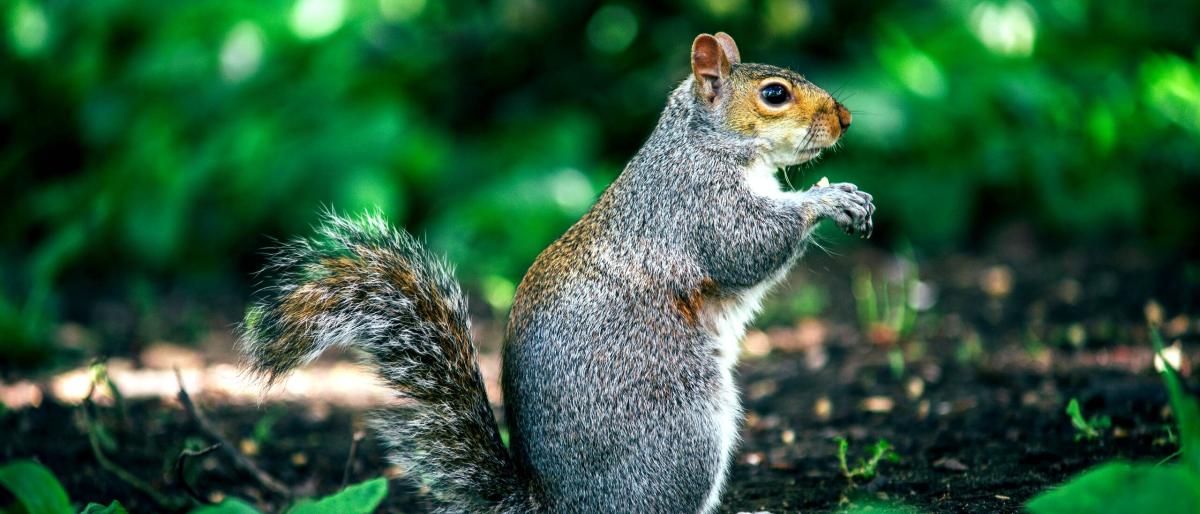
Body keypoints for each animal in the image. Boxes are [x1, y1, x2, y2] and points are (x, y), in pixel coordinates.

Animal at [238, 32, 873, 514]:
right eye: (774, 95)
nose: (845, 119)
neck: (706, 142)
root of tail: (556, 503)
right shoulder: (696, 204)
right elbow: (746, 247)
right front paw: (828, 198)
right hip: (684, 430)